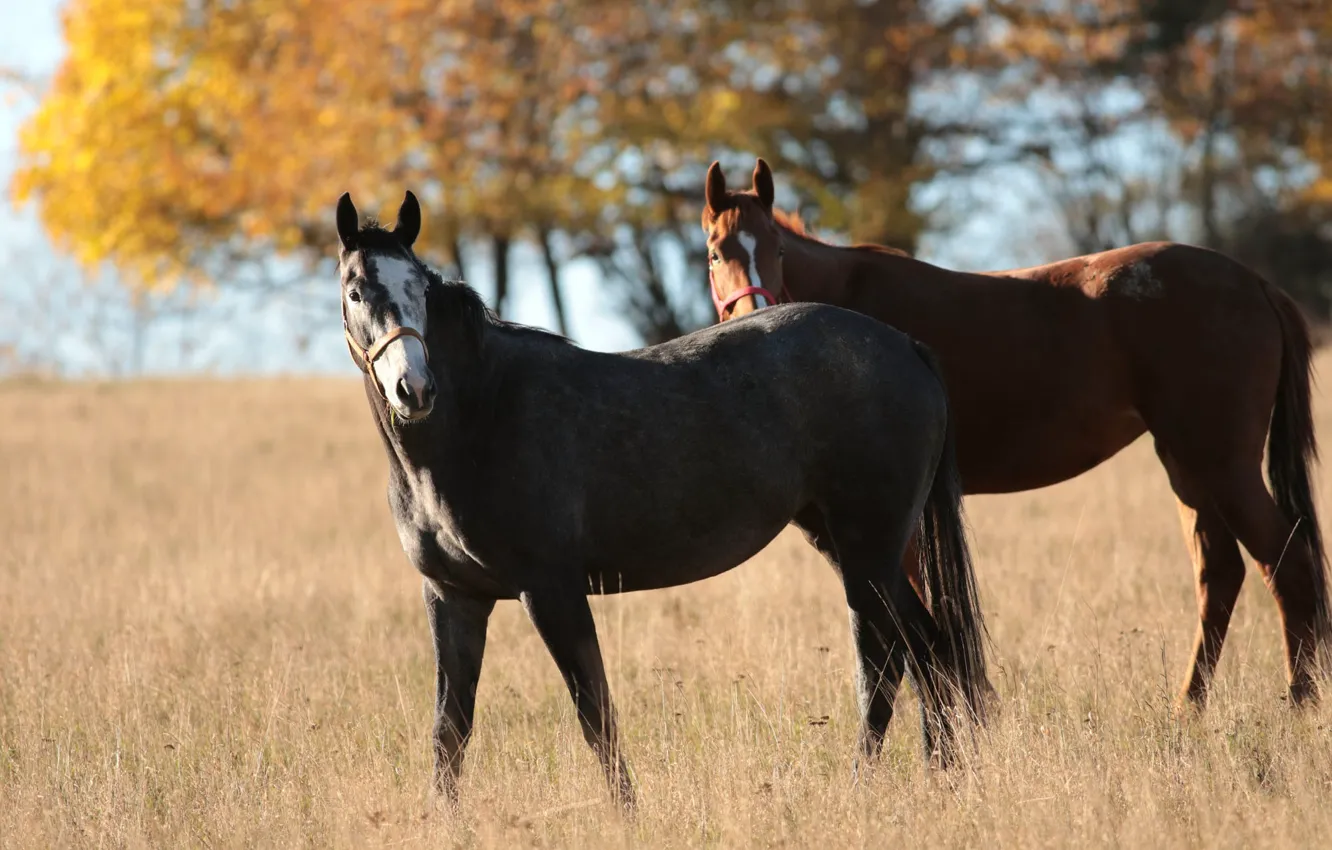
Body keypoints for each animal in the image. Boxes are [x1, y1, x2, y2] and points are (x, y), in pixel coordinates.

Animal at [333, 189, 989, 807]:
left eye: (419, 289)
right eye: (356, 291)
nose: (414, 389)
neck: (482, 415)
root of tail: (906, 346)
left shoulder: (551, 589)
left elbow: (595, 714)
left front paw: (627, 813)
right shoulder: (454, 596)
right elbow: (451, 727)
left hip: (868, 550)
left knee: (896, 660)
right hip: (845, 543)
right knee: (921, 652)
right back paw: (938, 780)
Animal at [700, 157, 1331, 711]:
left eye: (778, 250)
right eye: (714, 252)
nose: (751, 320)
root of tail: (1253, 282)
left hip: (1223, 464)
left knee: (1287, 563)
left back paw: (1299, 704)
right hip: (1186, 463)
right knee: (1220, 575)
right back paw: (1189, 710)